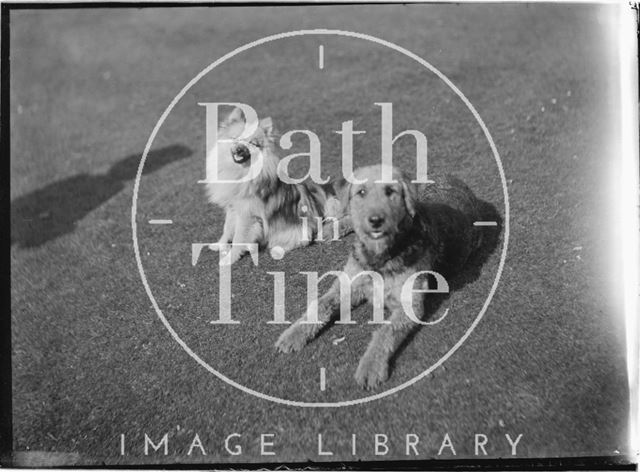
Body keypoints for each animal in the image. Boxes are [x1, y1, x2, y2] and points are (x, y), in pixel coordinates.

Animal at [204, 108, 344, 266]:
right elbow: (227, 229)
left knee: (303, 240)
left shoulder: (247, 216)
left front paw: (229, 258)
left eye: (253, 143)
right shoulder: (232, 208)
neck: (239, 172)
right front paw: (219, 245)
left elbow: (238, 238)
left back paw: (277, 250)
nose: (239, 149)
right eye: (236, 139)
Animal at [276, 164, 496, 390]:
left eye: (390, 191)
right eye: (361, 192)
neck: (380, 256)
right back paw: (330, 229)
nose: (375, 221)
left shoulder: (410, 305)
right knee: (349, 215)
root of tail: (452, 177)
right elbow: (320, 304)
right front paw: (292, 335)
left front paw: (370, 368)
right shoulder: (348, 284)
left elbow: (385, 333)